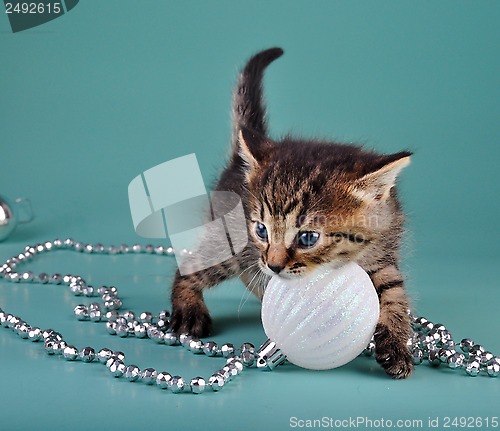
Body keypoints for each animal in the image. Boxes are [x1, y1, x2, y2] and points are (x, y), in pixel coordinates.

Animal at [170, 46, 412, 378]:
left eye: (308, 238)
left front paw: (396, 346)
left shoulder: (383, 254)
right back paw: (188, 309)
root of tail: (236, 165)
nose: (273, 266)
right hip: (230, 246)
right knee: (192, 265)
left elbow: (394, 294)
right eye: (261, 230)